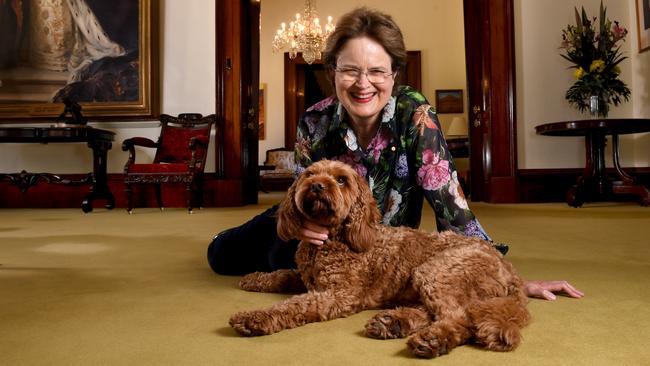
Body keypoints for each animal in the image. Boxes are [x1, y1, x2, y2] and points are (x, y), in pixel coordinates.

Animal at [228, 159, 528, 358]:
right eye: (310, 174)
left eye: (341, 180)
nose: (316, 186)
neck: (332, 240)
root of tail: (508, 269)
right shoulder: (307, 279)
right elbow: (283, 275)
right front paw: (254, 279)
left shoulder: (338, 295)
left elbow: (294, 306)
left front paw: (255, 318)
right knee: (433, 311)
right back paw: (393, 322)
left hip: (436, 271)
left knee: (459, 317)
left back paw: (433, 340)